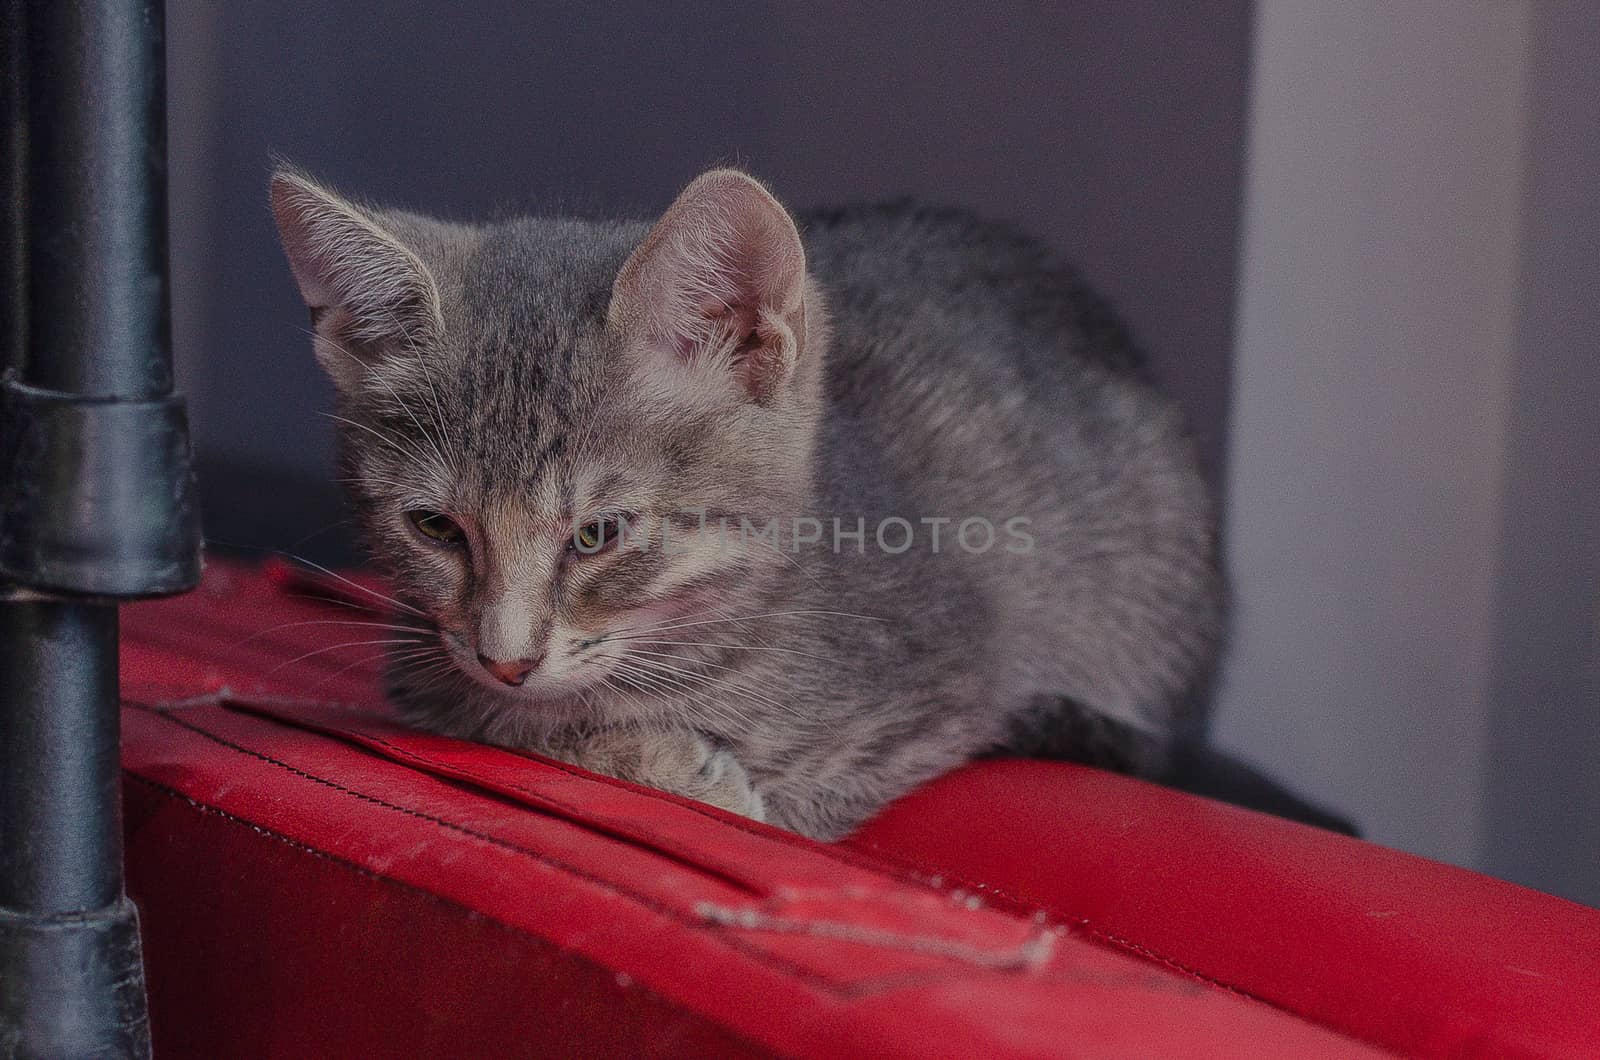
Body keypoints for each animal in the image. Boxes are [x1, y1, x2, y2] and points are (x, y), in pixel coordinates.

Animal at [275, 166, 1222, 845]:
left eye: (599, 534)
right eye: (434, 527)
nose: (505, 658)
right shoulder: (423, 667)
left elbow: (793, 806)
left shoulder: (936, 694)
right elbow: (487, 713)